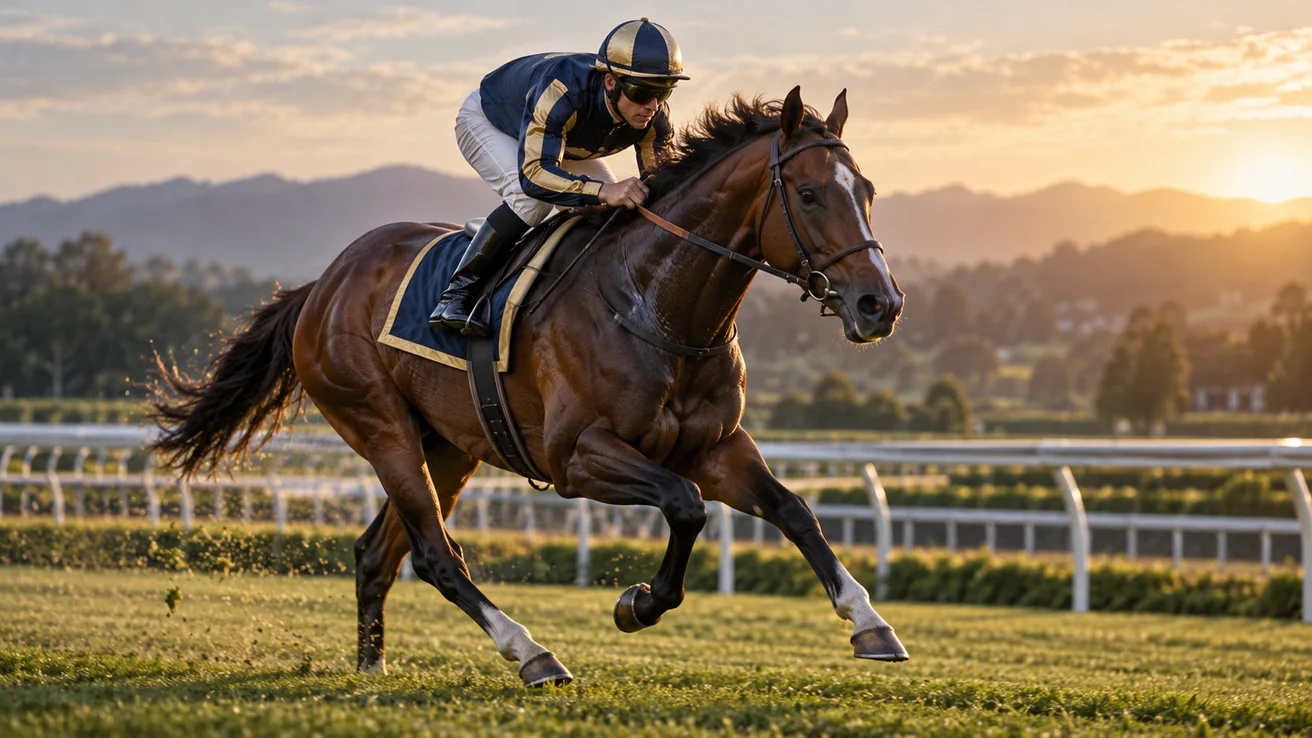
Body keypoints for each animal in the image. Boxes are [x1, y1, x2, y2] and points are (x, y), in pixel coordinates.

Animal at [147, 85, 907, 689]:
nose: (881, 305)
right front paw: (637, 603)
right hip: (381, 426)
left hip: (448, 446)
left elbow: (794, 511)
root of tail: (321, 287)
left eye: (868, 193)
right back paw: (532, 653)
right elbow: (685, 506)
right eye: (808, 194)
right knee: (435, 555)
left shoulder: (715, 447)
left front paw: (870, 622)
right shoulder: (576, 456)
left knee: (377, 554)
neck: (655, 304)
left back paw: (372, 666)